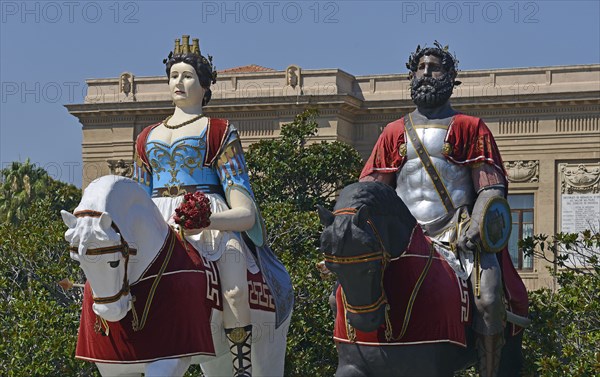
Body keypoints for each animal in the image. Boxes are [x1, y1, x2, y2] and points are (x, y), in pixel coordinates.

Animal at [62, 176, 292, 376]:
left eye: (114, 262)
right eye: (78, 260)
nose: (108, 311)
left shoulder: (170, 359)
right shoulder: (114, 368)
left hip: (269, 345)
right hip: (217, 358)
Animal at [318, 181, 524, 374]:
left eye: (370, 268)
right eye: (333, 268)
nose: (363, 321)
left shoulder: (431, 368)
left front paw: (470, 236)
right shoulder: (352, 365)